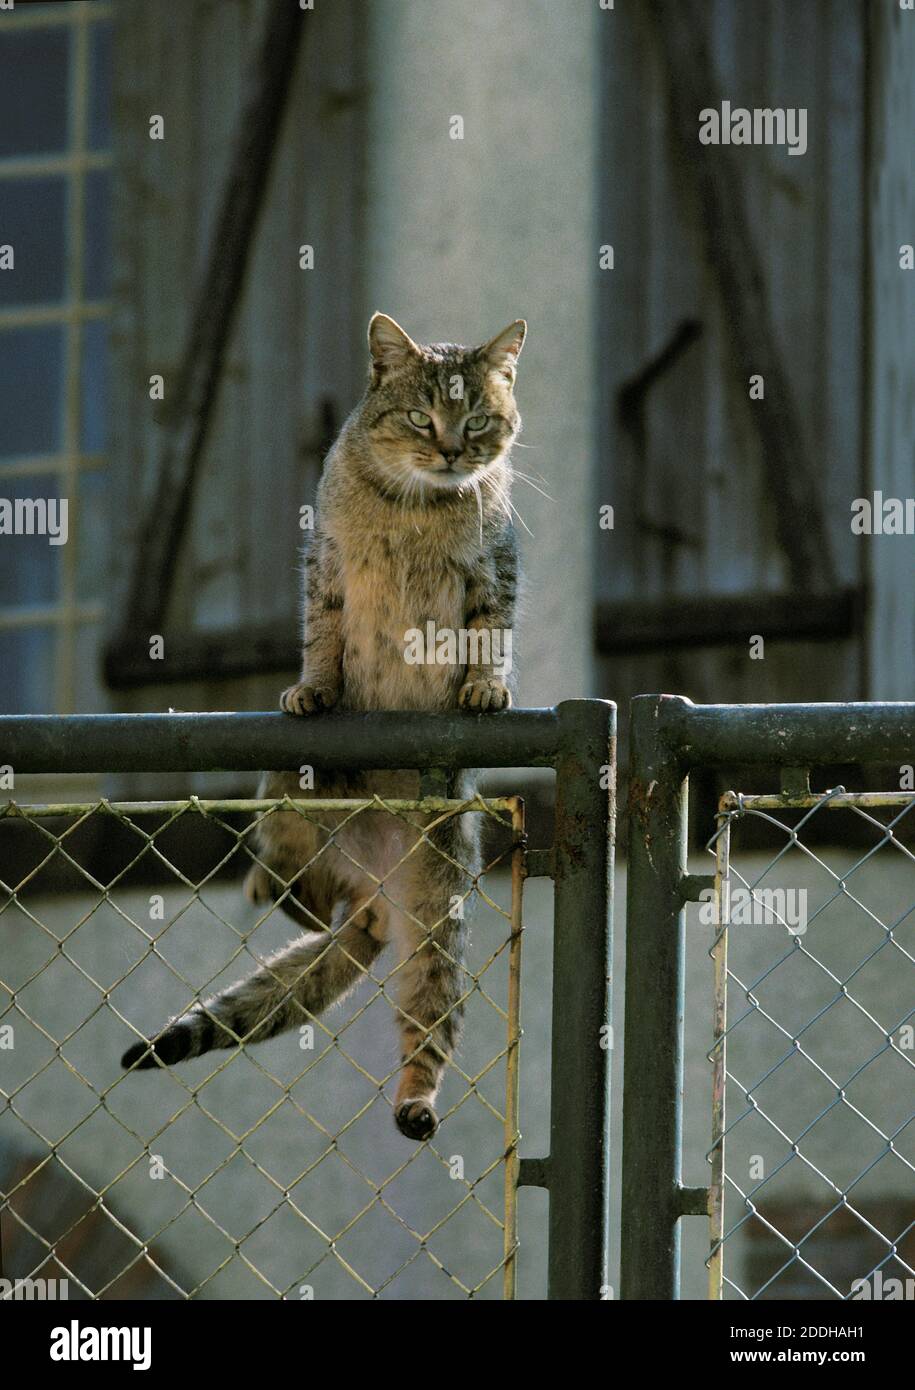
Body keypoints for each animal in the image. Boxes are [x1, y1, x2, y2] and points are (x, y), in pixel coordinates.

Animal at [120, 312, 520, 1139]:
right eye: (419, 417)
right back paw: (265, 880)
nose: (450, 451)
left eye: (476, 422)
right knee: (287, 887)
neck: (416, 502)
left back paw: (416, 1101)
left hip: (438, 914)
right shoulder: (326, 564)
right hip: (280, 797)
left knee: (426, 1019)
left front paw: (484, 688)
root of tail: (373, 893)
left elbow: (489, 633)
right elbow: (323, 634)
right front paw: (314, 688)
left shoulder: (493, 573)